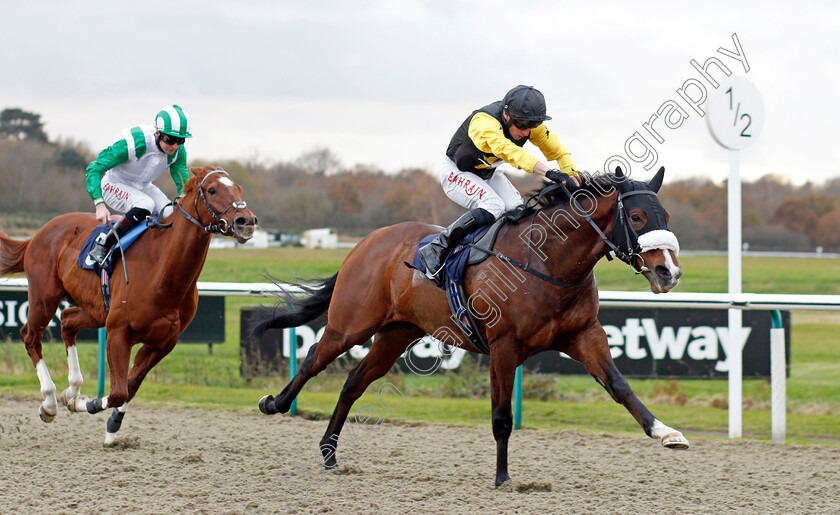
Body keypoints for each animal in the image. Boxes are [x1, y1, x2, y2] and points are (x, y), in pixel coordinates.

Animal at [0, 164, 256, 444]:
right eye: (212, 190)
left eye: (238, 188)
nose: (246, 221)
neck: (163, 271)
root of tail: (37, 234)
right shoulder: (118, 332)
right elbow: (118, 391)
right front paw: (83, 403)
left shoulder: (163, 341)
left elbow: (131, 386)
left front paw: (109, 422)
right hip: (44, 297)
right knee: (30, 336)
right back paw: (49, 401)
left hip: (95, 310)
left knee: (67, 322)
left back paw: (72, 388)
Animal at [256, 168, 688, 488]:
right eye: (637, 217)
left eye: (666, 217)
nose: (669, 272)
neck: (547, 262)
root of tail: (367, 241)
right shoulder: (504, 347)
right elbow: (501, 417)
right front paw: (503, 478)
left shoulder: (584, 335)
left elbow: (620, 387)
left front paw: (666, 432)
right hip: (352, 324)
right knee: (314, 359)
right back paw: (275, 403)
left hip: (397, 333)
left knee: (354, 382)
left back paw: (329, 453)